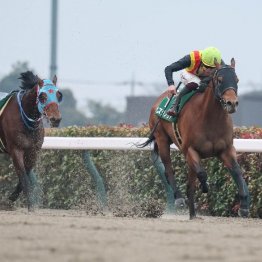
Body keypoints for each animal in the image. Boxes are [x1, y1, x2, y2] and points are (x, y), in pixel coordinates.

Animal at [0, 71, 62, 211]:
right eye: (42, 96)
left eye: (58, 95)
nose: (56, 119)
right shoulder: (16, 149)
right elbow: (24, 176)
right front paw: (30, 205)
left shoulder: (33, 151)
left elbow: (25, 175)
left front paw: (11, 198)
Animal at [139, 58, 250, 219]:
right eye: (220, 79)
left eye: (236, 80)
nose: (232, 103)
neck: (210, 119)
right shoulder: (190, 150)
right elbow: (202, 173)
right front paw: (205, 187)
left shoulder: (226, 149)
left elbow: (237, 172)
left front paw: (244, 207)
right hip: (162, 139)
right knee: (169, 169)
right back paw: (179, 198)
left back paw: (193, 214)